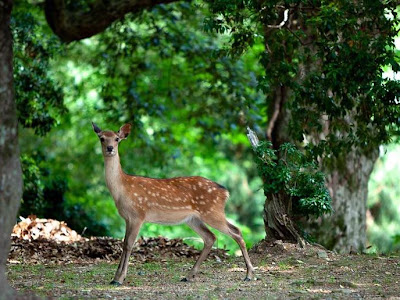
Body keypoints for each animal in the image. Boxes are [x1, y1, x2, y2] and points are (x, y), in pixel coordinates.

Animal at [92, 122, 255, 286]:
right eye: (102, 138)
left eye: (117, 139)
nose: (110, 148)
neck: (122, 189)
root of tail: (225, 192)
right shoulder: (127, 218)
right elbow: (124, 243)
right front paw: (116, 277)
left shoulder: (138, 215)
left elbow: (129, 244)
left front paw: (119, 278)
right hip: (193, 219)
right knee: (211, 237)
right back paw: (189, 275)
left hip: (212, 212)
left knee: (236, 232)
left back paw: (249, 274)